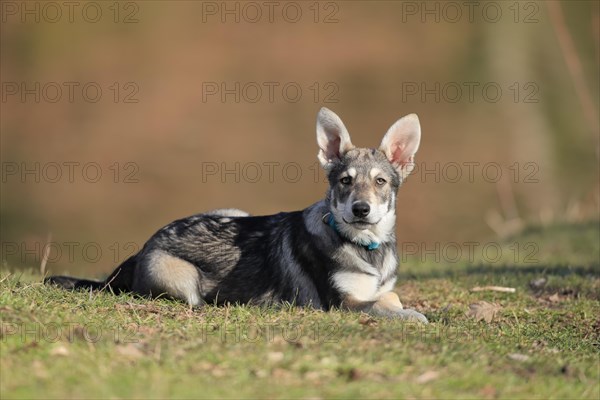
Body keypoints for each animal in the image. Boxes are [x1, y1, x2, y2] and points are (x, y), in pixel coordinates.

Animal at [49, 108, 428, 324]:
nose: (360, 209)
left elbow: (388, 295)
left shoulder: (375, 289)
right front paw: (413, 316)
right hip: (181, 279)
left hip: (234, 212)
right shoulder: (342, 303)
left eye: (380, 182)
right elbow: (382, 304)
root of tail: (141, 248)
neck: (366, 246)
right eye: (345, 181)